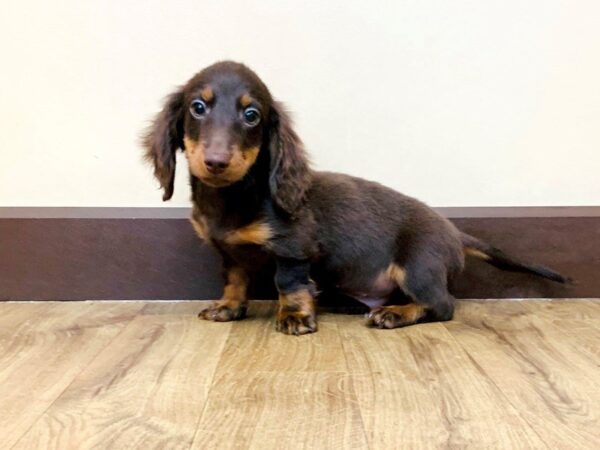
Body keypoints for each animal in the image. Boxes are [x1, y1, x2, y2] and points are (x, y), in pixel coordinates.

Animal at [143, 60, 568, 334]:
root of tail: (453, 230)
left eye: (252, 115)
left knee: (442, 305)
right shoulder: (229, 254)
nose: (216, 161)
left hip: (418, 266)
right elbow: (234, 280)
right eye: (198, 107)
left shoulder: (293, 248)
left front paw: (295, 317)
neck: (232, 197)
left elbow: (289, 284)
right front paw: (228, 308)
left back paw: (394, 315)